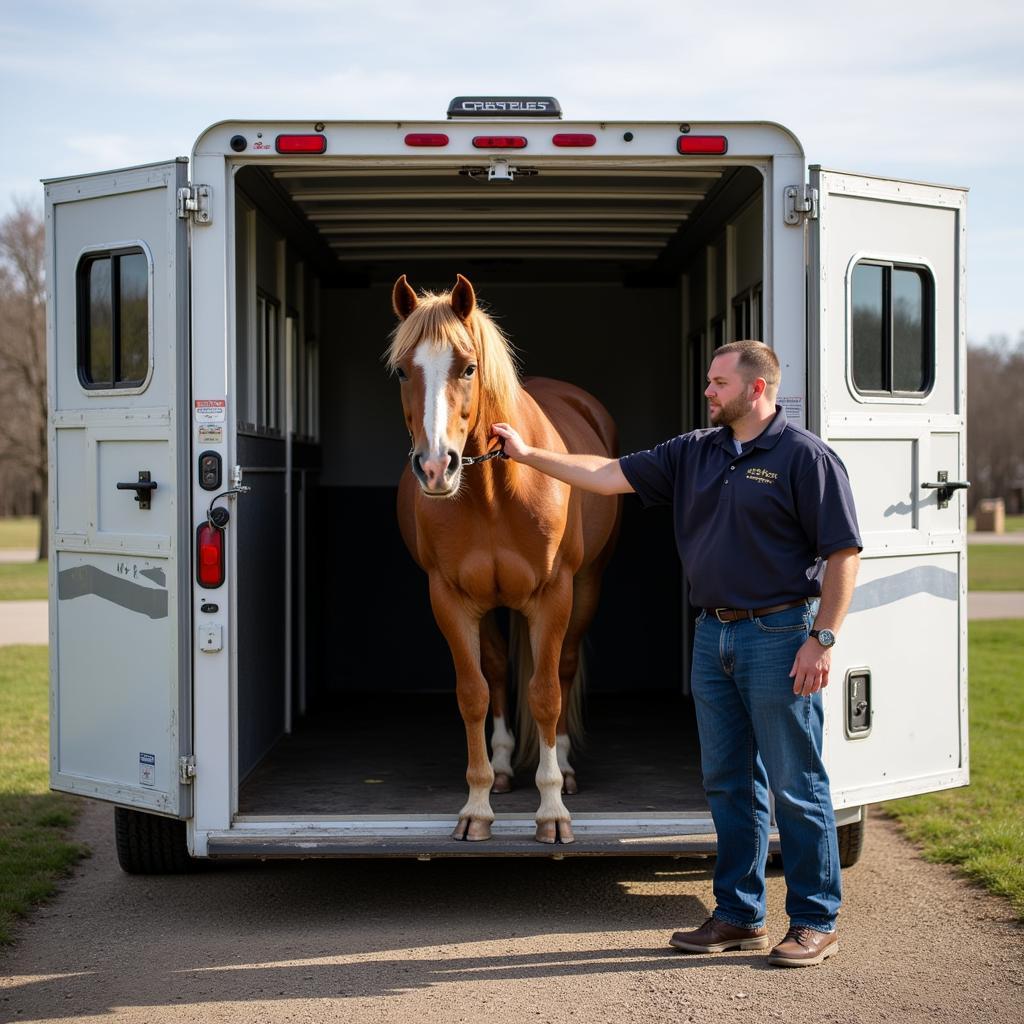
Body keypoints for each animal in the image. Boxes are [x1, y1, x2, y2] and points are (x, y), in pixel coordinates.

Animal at [387, 276, 618, 843]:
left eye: (469, 367)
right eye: (402, 370)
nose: (436, 468)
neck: (494, 493)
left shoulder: (554, 596)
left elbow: (546, 695)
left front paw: (553, 810)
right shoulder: (450, 598)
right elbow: (474, 692)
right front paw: (477, 804)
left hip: (587, 586)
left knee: (563, 671)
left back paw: (566, 768)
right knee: (495, 673)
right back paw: (506, 765)